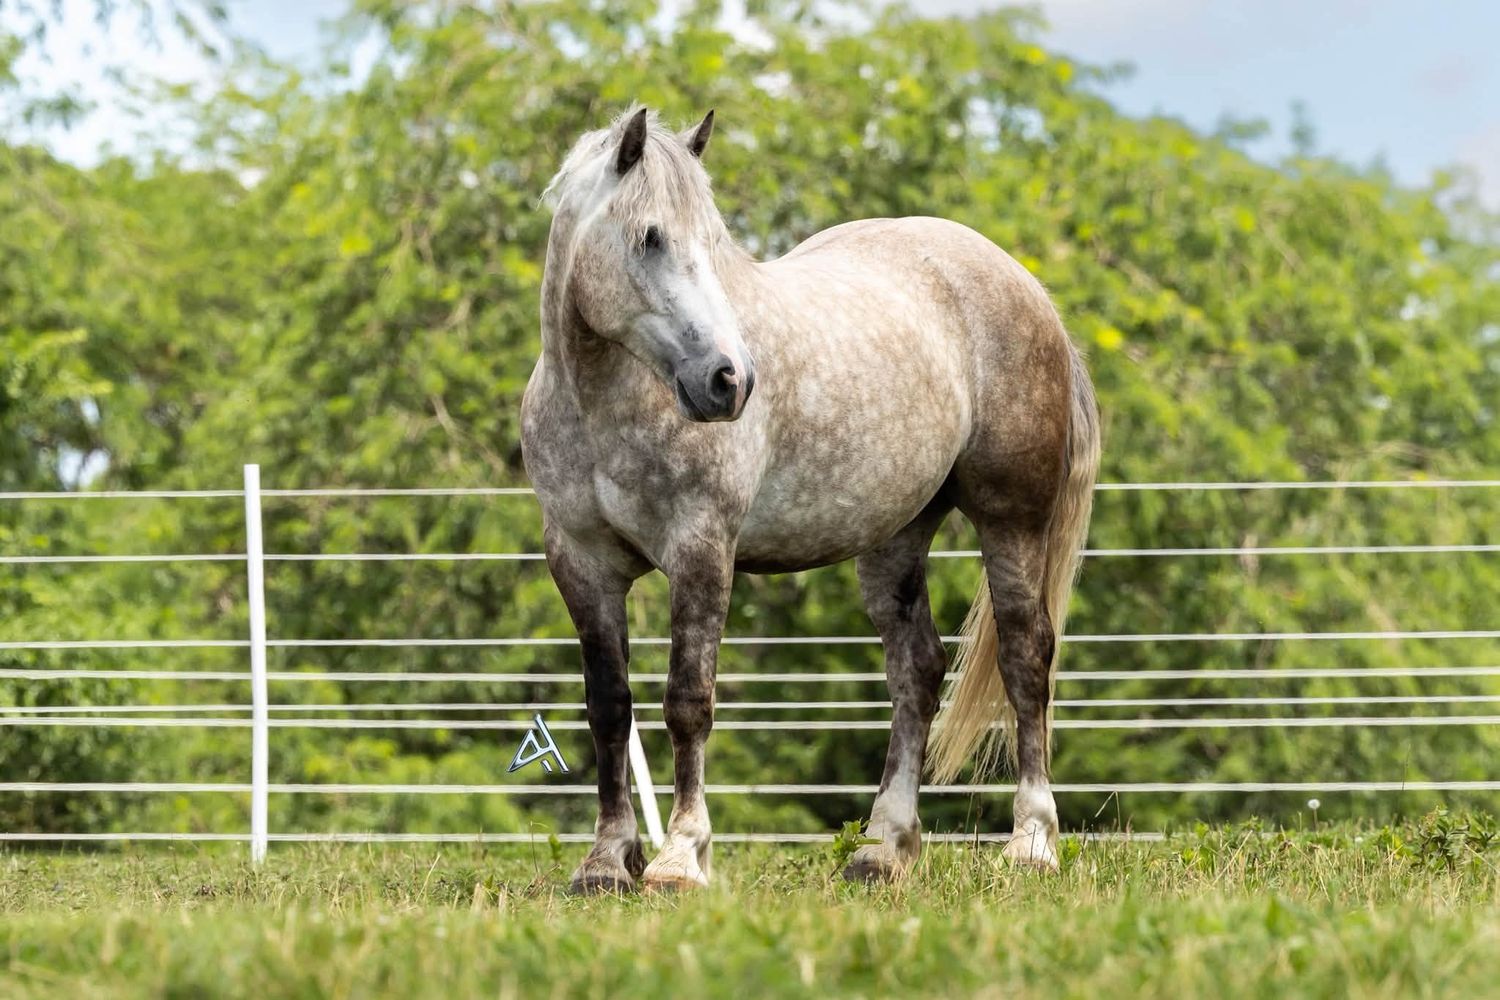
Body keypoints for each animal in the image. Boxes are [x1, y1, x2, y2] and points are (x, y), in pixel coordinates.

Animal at [521, 107, 1100, 891]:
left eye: (714, 240)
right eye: (649, 237)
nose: (730, 380)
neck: (602, 402)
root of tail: (1028, 289)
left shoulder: (701, 550)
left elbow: (687, 702)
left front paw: (682, 856)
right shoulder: (581, 563)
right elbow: (610, 708)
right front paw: (607, 861)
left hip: (1012, 520)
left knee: (1025, 654)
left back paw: (1032, 841)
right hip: (895, 538)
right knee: (917, 672)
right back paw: (882, 847)